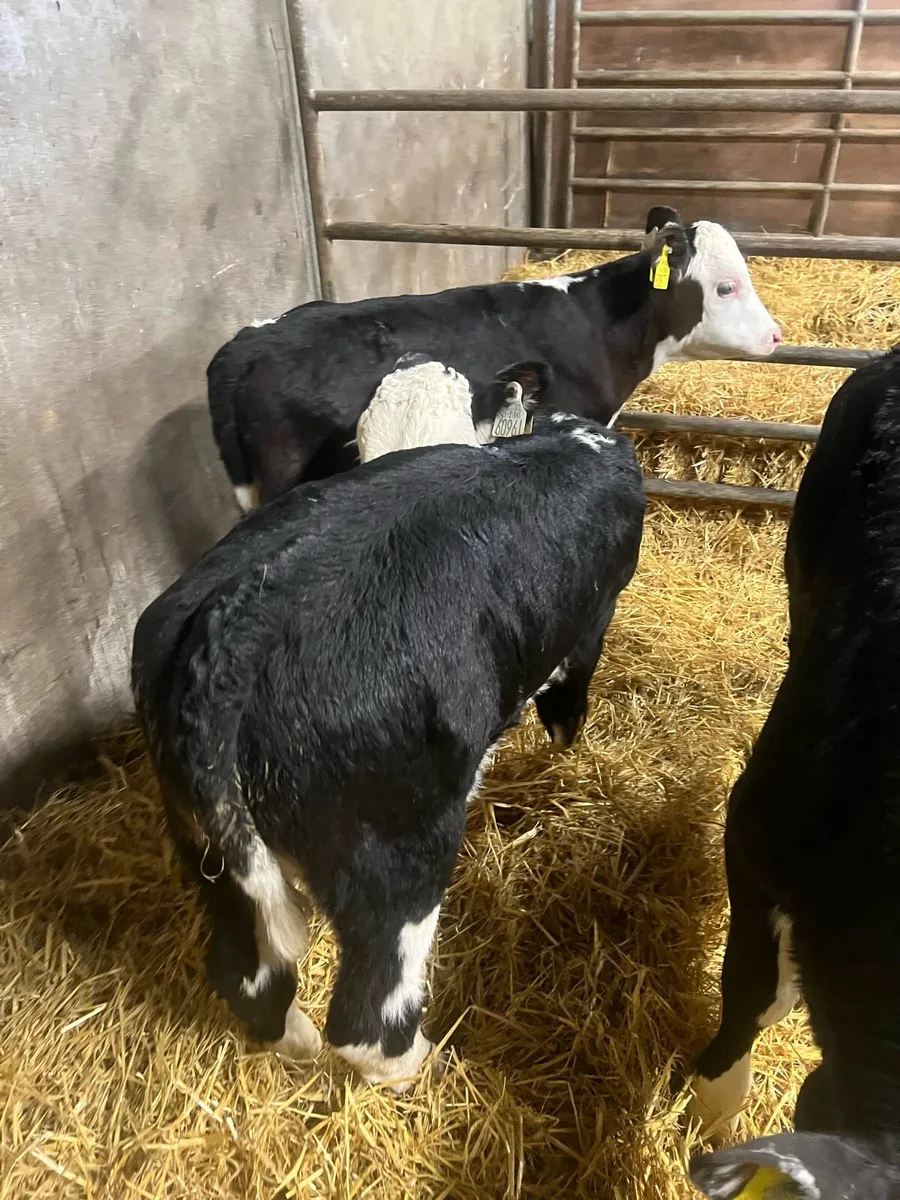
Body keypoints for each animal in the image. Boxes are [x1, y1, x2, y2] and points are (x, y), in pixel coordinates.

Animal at [131, 406, 645, 1091]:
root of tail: (240, 617)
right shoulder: (590, 625)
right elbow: (568, 701)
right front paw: (567, 758)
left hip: (208, 850)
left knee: (245, 973)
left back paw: (295, 1043)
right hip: (398, 848)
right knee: (368, 1012)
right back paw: (417, 1066)